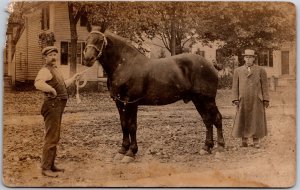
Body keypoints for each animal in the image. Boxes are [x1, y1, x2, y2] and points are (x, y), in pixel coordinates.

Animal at [83, 27, 224, 159]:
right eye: (87, 40)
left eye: (100, 40)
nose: (87, 59)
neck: (125, 64)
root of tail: (210, 64)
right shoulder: (119, 103)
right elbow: (124, 125)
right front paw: (122, 150)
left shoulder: (131, 103)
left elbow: (132, 126)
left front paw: (131, 152)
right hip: (198, 100)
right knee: (207, 120)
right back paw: (206, 147)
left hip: (207, 100)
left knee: (216, 118)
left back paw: (220, 148)